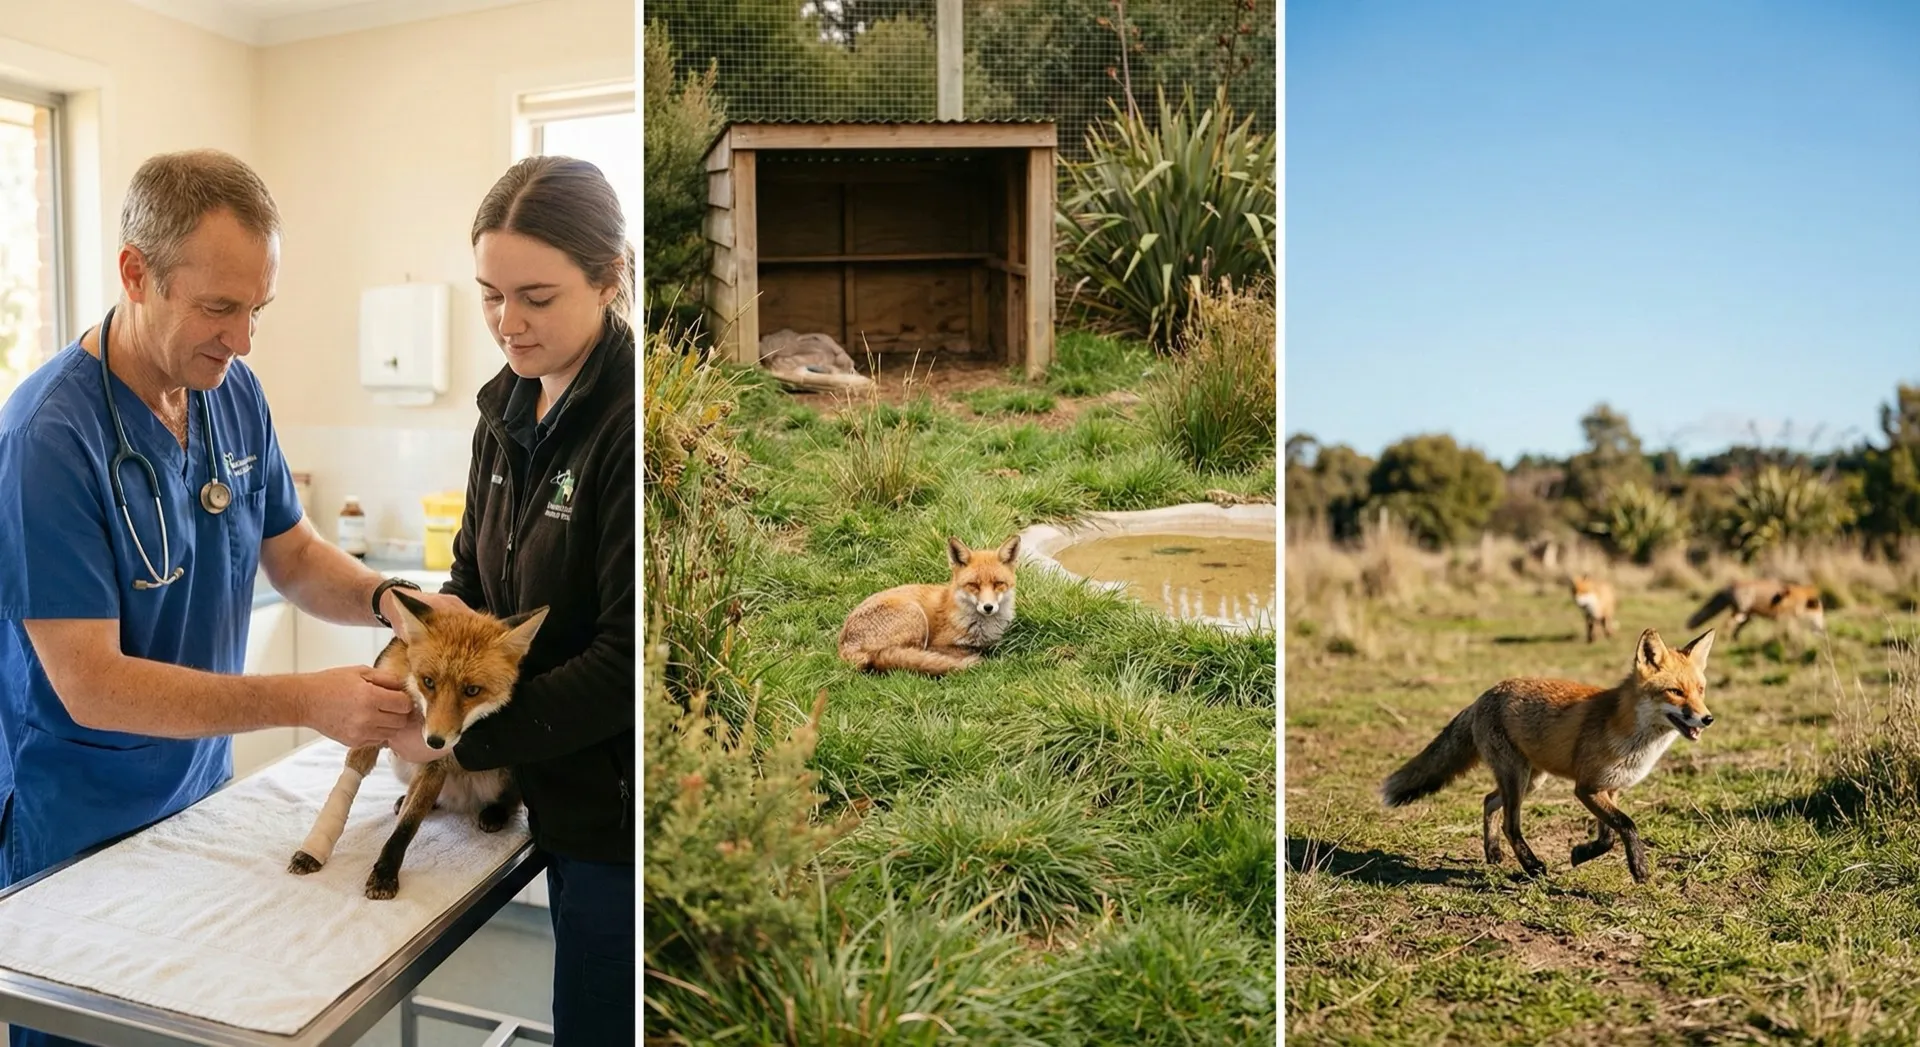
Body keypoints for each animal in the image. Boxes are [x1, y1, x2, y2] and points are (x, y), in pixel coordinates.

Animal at [288, 591, 548, 900]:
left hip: (504, 769)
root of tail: (461, 801)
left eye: (472, 691)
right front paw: (313, 852)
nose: (435, 741)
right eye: (429, 682)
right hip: (400, 764)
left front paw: (385, 874)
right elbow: (348, 787)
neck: (414, 707)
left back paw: (495, 813)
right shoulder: (371, 727)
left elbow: (406, 827)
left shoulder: (435, 764)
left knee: (511, 800)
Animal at [838, 535, 1019, 676]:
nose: (988, 607)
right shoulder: (939, 644)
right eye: (973, 585)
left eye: (998, 583)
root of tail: (843, 646)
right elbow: (971, 649)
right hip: (916, 618)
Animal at [1381, 627, 1716, 883]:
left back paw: (1493, 853)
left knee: (1488, 801)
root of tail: (1483, 695)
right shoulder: (1586, 788)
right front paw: (1639, 868)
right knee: (1510, 824)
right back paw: (1532, 866)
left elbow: (1608, 837)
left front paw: (1581, 853)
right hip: (1517, 778)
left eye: (1700, 690)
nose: (1707, 718)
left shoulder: (1610, 788)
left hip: (1529, 780)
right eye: (1675, 692)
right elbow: (1627, 825)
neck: (1631, 734)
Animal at [1687, 579, 1825, 640]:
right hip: (1741, 613)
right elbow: (1791, 633)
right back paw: (1725, 638)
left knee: (1735, 629)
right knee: (1728, 623)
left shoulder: (1787, 619)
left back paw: (1735, 640)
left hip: (1747, 617)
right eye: (1819, 616)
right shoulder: (1784, 617)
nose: (1822, 629)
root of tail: (1731, 584)